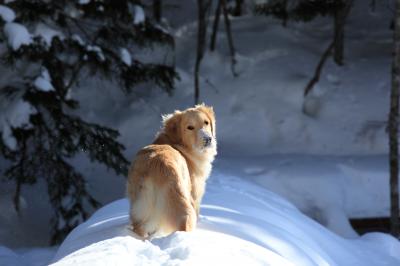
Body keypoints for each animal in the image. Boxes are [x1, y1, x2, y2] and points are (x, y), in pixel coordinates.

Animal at [126, 104, 217, 239]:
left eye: (206, 122)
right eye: (190, 127)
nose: (208, 139)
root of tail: (156, 164)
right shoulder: (195, 195)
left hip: (140, 204)